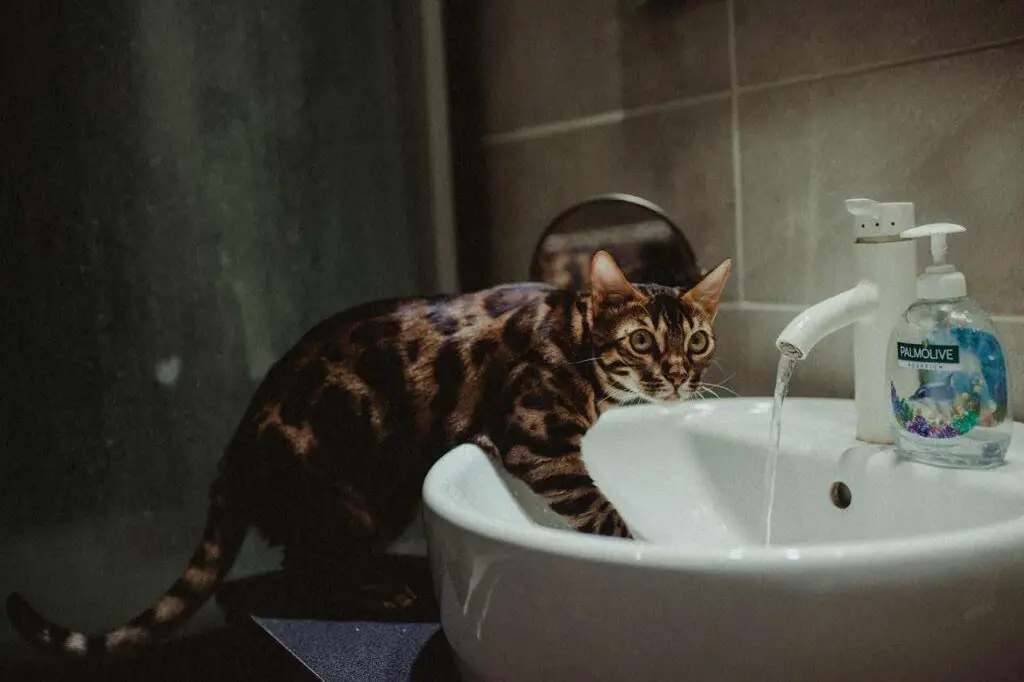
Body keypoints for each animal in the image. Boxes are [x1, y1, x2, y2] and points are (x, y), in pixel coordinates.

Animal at [6, 248, 729, 655]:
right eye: (641, 342)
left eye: (697, 342)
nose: (677, 379)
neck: (579, 344)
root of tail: (232, 457)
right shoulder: (540, 440)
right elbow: (606, 513)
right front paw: (646, 546)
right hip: (353, 498)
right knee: (308, 565)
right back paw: (385, 591)